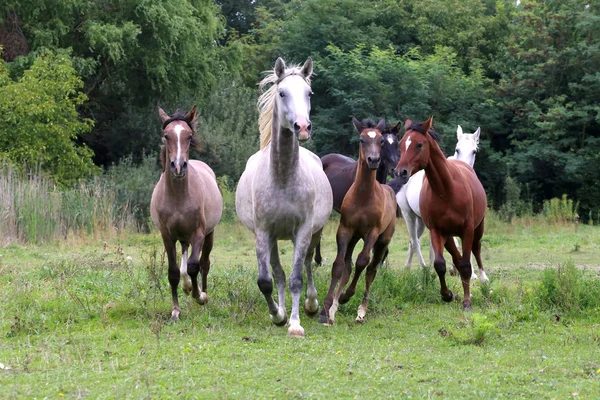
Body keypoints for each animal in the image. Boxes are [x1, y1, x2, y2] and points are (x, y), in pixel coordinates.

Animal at [151, 106, 224, 322]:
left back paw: (203, 293)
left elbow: (194, 266)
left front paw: (199, 296)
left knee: (204, 263)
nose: (178, 166)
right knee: (184, 260)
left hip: (209, 235)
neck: (178, 196)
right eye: (166, 136)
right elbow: (174, 272)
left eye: (189, 136)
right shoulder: (167, 236)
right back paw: (187, 287)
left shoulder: (198, 233)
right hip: (182, 237)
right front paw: (175, 310)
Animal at [234, 57, 332, 338]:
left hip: (314, 233)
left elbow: (296, 278)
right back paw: (282, 310)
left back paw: (310, 305)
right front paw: (278, 315)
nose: (302, 127)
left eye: (309, 93)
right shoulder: (263, 232)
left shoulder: (304, 230)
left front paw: (296, 323)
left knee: (308, 264)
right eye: (282, 93)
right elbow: (266, 280)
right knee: (277, 273)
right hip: (274, 238)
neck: (283, 178)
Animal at [394, 115, 488, 310]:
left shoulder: (467, 229)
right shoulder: (438, 230)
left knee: (475, 247)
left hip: (476, 226)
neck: (447, 189)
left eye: (419, 144)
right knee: (415, 242)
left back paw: (483, 277)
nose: (400, 172)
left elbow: (465, 261)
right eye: (401, 144)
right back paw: (420, 267)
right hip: (411, 216)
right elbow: (440, 264)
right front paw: (447, 294)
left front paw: (467, 300)